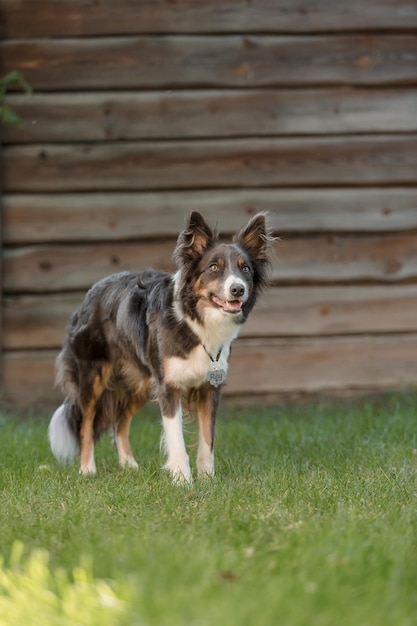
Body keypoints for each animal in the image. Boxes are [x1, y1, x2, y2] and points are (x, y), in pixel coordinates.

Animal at [48, 212, 272, 480]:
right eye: (214, 267)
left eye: (245, 268)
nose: (238, 289)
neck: (194, 321)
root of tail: (92, 291)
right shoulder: (168, 386)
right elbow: (176, 438)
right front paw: (183, 480)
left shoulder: (210, 387)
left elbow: (208, 439)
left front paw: (208, 479)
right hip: (92, 375)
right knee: (87, 423)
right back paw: (87, 470)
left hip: (141, 383)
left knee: (119, 422)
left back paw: (129, 465)